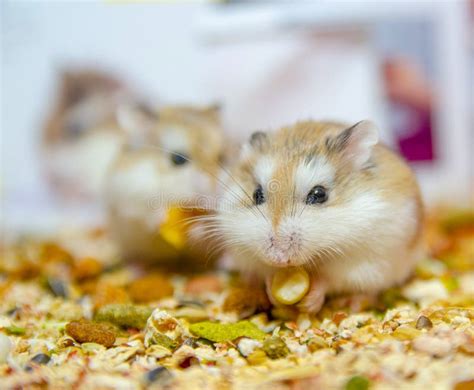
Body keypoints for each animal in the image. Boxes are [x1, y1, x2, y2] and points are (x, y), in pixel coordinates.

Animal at [105, 103, 224, 268]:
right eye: (178, 159)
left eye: (221, 158)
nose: (214, 193)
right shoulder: (131, 194)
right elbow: (146, 213)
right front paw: (161, 218)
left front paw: (195, 232)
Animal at [211, 120, 422, 312]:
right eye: (256, 194)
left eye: (319, 194)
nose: (278, 259)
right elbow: (264, 274)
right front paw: (271, 289)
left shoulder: (358, 263)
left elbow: (327, 280)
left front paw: (309, 304)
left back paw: (353, 304)